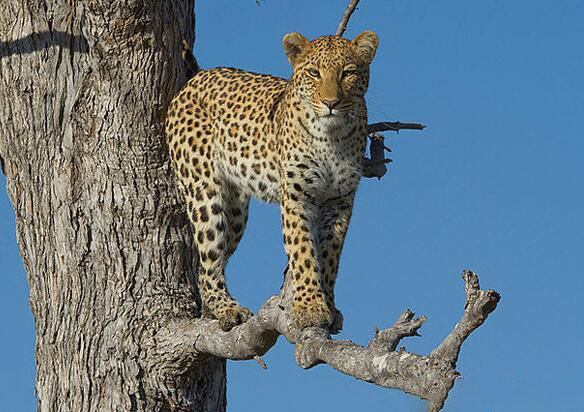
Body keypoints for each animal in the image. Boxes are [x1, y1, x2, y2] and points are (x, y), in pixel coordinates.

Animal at [167, 29, 380, 332]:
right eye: (314, 73)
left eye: (348, 73)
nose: (331, 103)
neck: (332, 138)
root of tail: (198, 77)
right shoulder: (296, 195)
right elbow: (302, 249)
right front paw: (309, 307)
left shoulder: (339, 201)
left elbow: (330, 256)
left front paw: (328, 305)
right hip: (204, 191)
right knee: (209, 260)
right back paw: (227, 309)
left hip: (236, 212)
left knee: (209, 261)